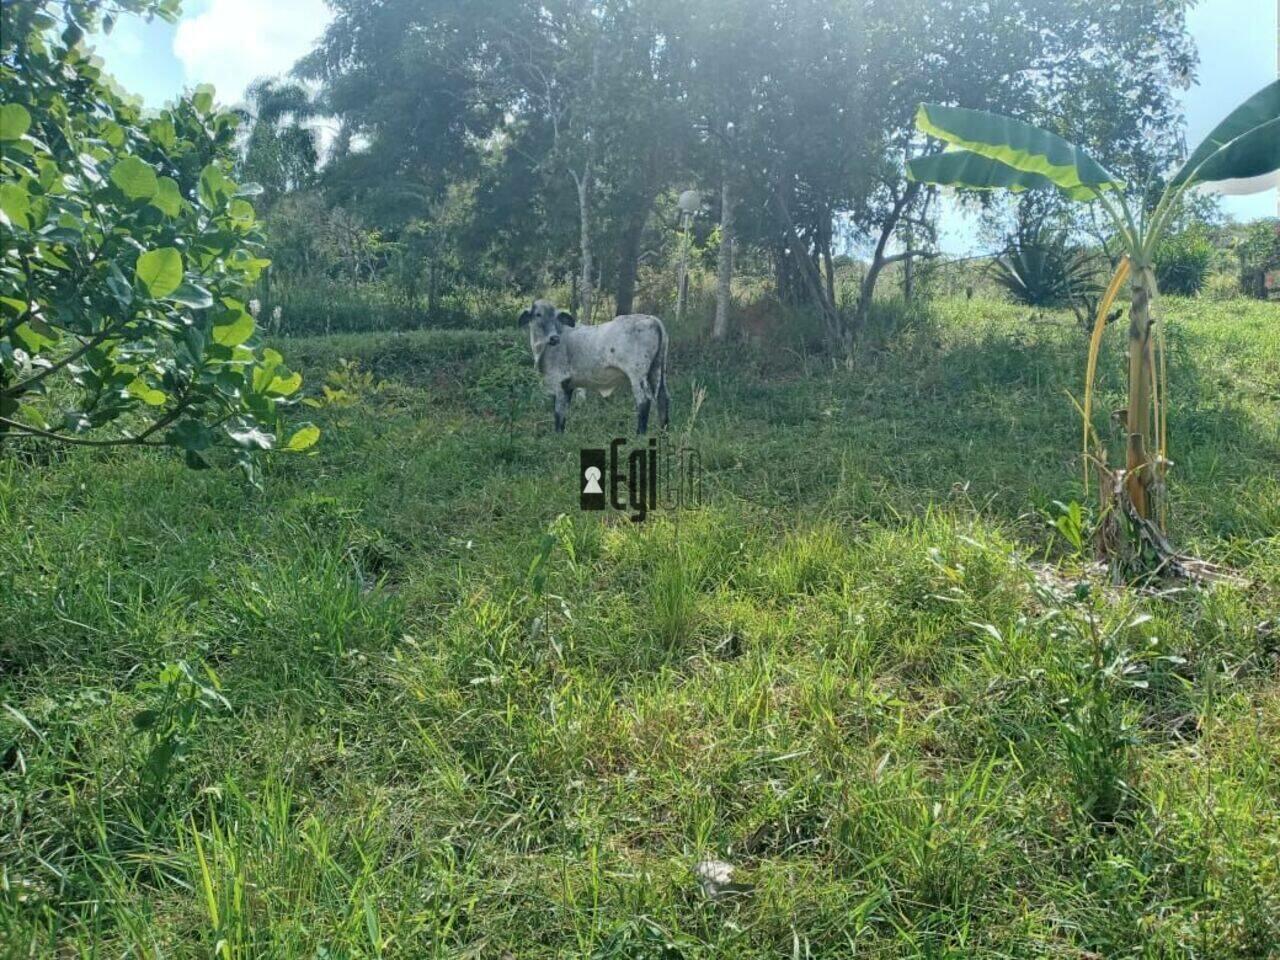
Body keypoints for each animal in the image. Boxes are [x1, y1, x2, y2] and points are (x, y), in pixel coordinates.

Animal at [522, 300, 675, 435]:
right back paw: (663, 434)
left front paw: (557, 437)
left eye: (556, 316)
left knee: (644, 400)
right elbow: (564, 413)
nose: (554, 338)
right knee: (663, 397)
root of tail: (652, 319)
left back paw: (640, 435)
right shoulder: (568, 385)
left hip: (637, 374)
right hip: (657, 369)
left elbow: (558, 413)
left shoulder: (559, 381)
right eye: (538, 314)